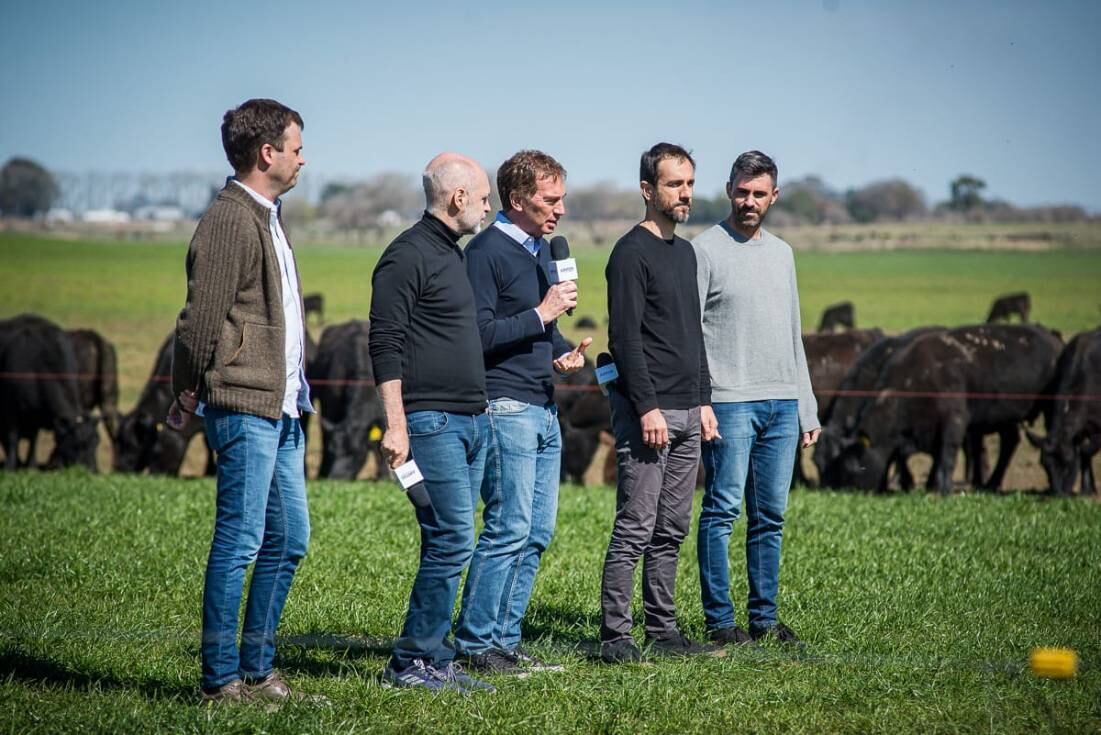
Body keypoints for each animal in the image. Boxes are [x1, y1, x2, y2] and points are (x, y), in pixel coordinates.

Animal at [1, 312, 99, 468]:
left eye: (96, 442)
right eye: (77, 444)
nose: (93, 470)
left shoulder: (34, 414)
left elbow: (33, 439)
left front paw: (30, 465)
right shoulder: (10, 408)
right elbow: (12, 437)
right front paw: (11, 466)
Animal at [827, 323, 1061, 490]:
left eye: (855, 465)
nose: (846, 491)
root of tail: (1052, 337)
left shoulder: (955, 420)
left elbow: (946, 455)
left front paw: (942, 488)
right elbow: (907, 457)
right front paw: (914, 483)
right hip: (1004, 416)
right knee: (1008, 441)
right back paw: (988, 483)